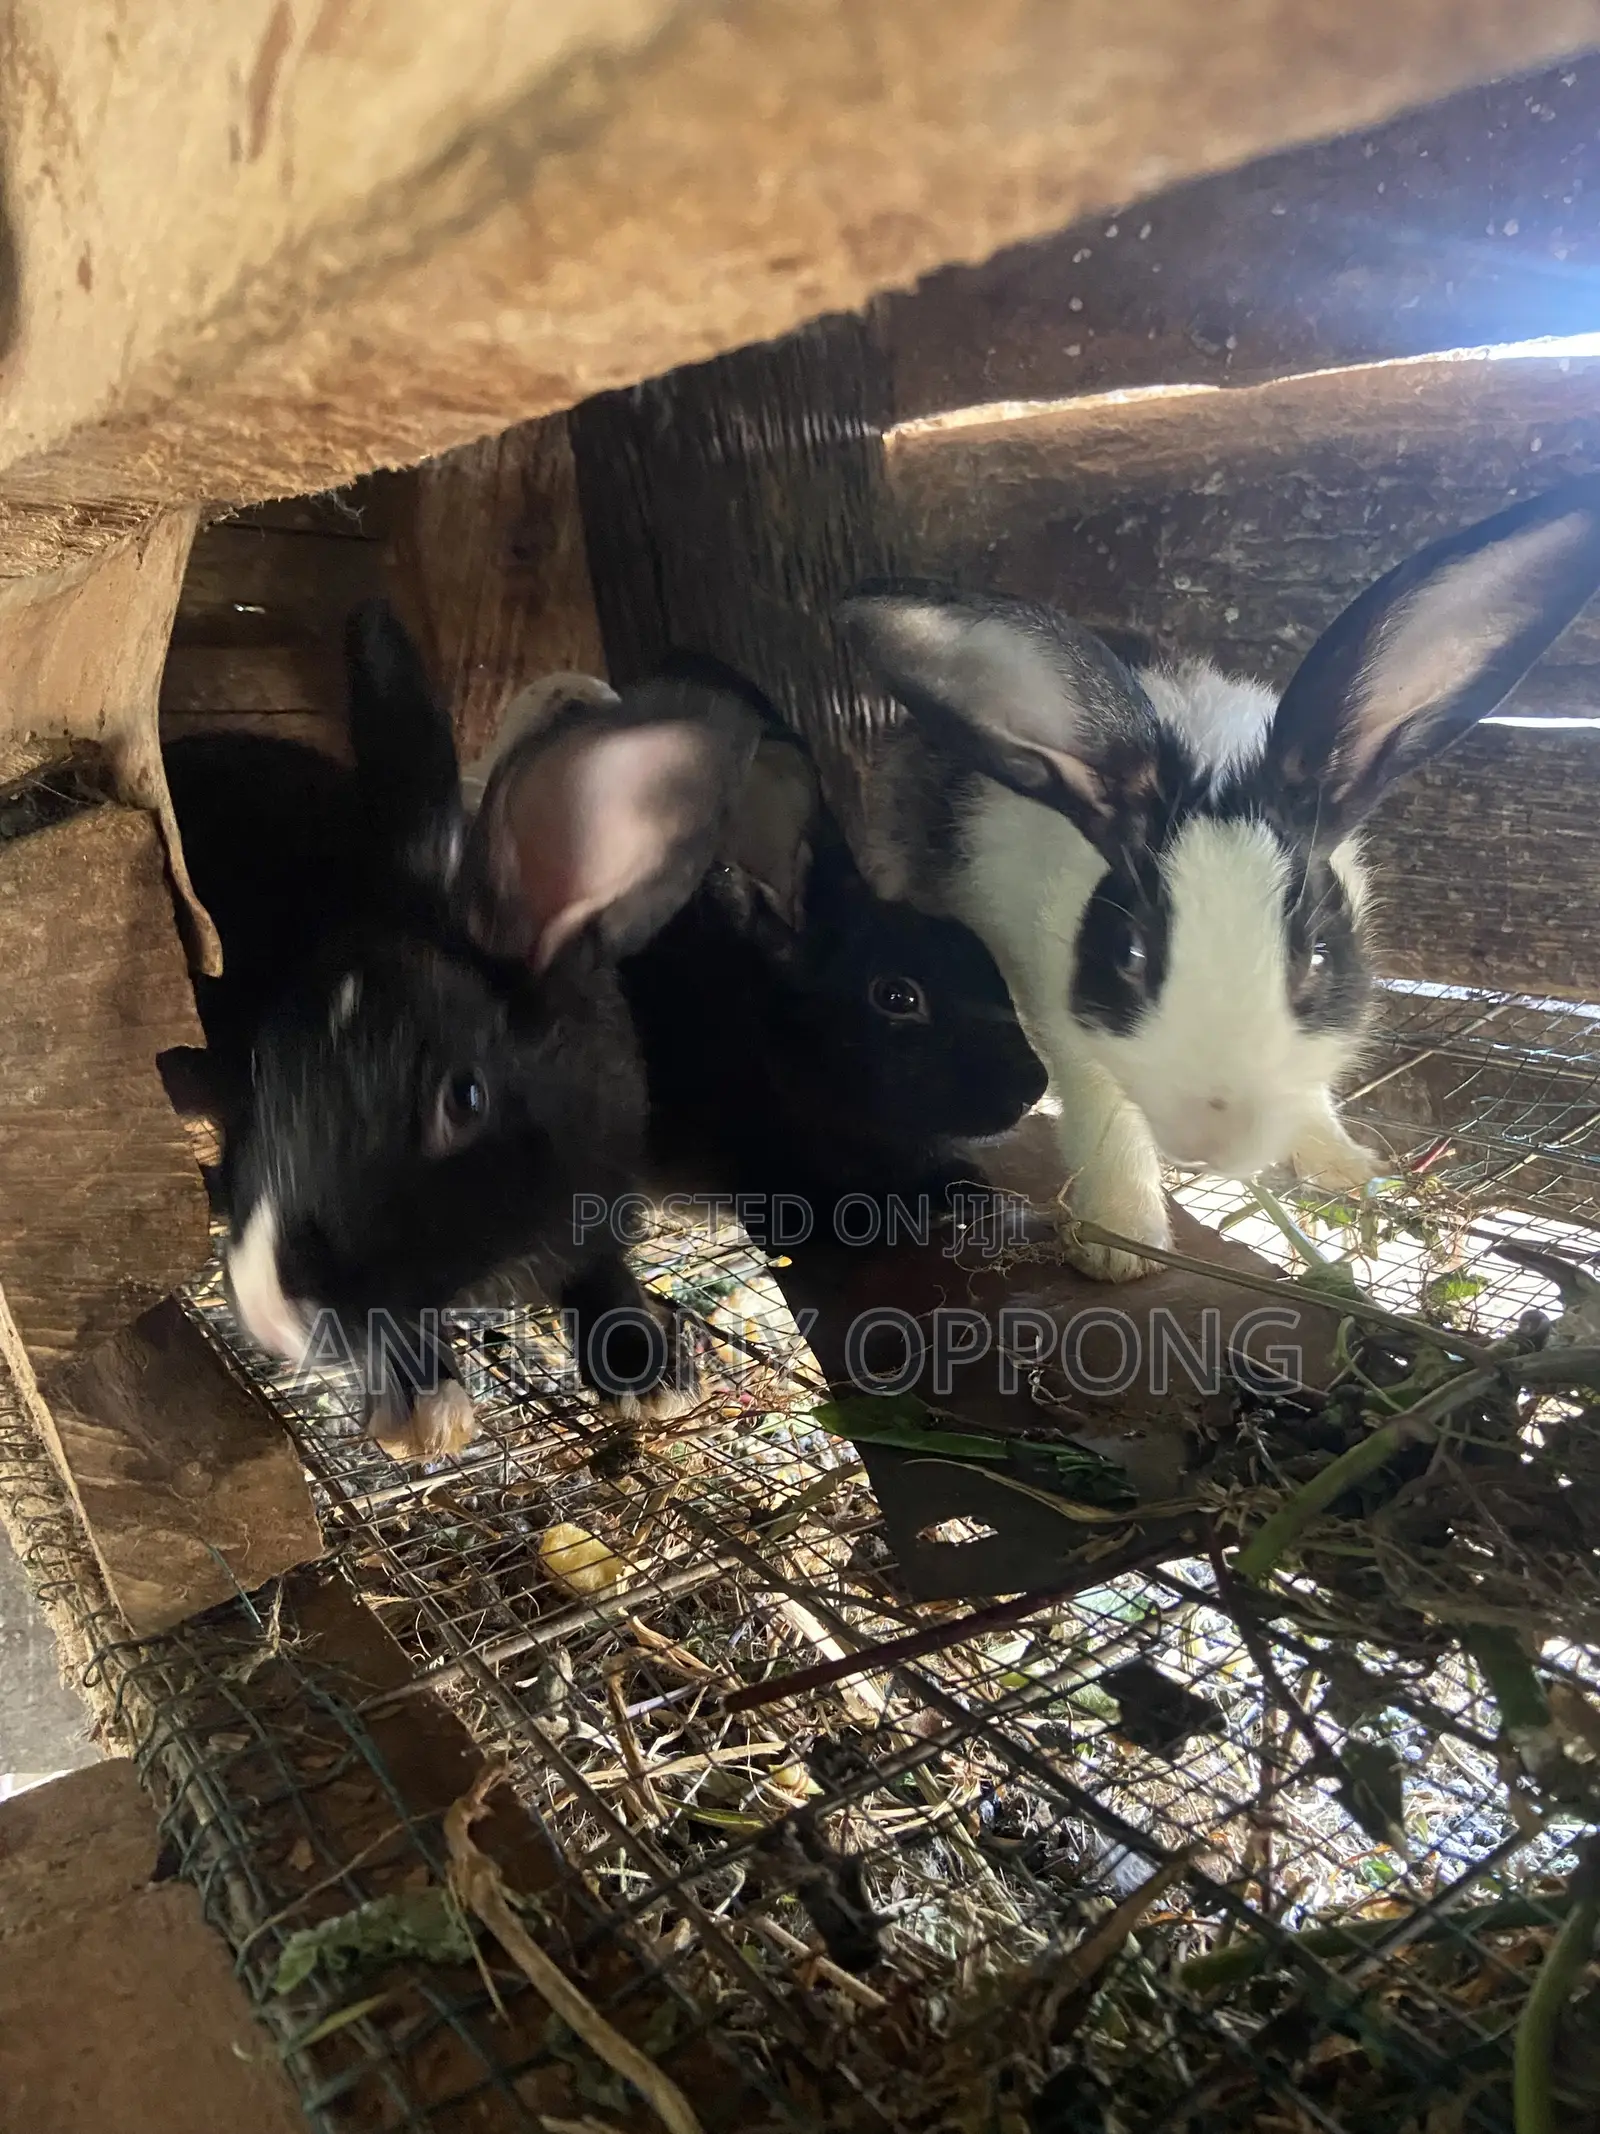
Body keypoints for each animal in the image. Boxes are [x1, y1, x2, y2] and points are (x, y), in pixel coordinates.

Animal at [163, 601, 760, 1460]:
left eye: (464, 1099)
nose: (270, 1314)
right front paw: (422, 1407)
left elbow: (602, 1269)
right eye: (263, 1065)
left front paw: (649, 1375)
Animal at [840, 475, 1600, 1281]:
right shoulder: (1060, 1017)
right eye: (1130, 955)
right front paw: (1123, 1245)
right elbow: (1104, 1116)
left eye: (1319, 958)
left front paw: (1345, 1168)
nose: (1213, 1146)